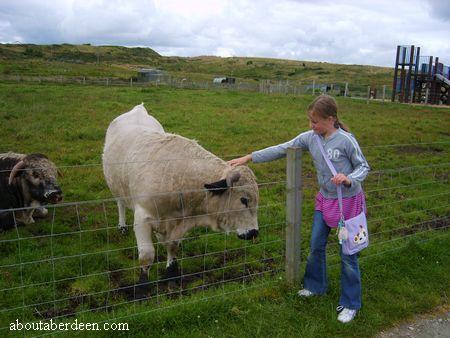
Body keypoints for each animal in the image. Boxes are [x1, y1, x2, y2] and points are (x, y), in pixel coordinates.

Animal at [101, 103, 256, 296]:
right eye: (243, 200)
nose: (253, 232)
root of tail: (138, 109)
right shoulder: (142, 218)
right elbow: (147, 256)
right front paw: (142, 288)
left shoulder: (177, 223)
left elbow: (172, 247)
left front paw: (171, 275)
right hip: (116, 186)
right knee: (120, 203)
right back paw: (122, 226)